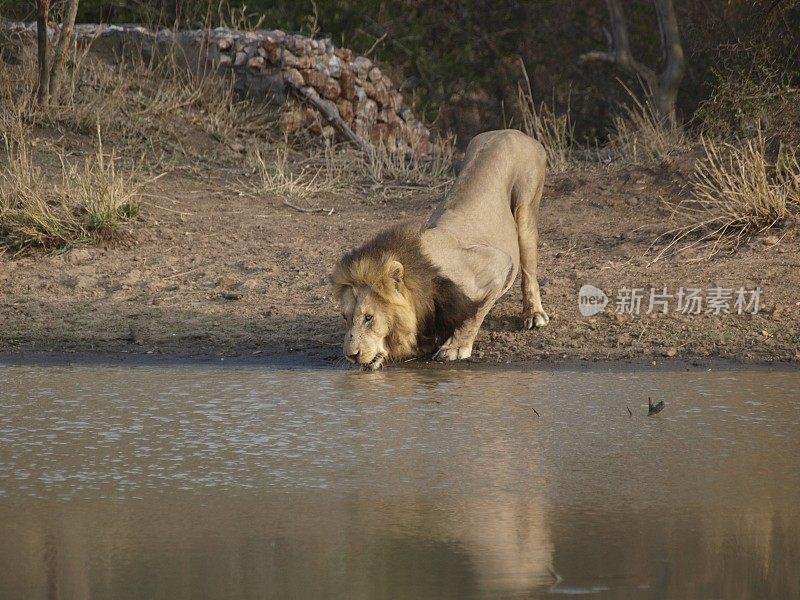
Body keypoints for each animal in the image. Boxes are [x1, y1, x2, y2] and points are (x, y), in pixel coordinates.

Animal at [332, 129, 552, 368]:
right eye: (345, 317)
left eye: (368, 318)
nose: (351, 355)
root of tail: (512, 131)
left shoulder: (497, 264)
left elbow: (473, 314)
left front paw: (455, 347)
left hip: (525, 209)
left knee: (529, 272)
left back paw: (534, 314)